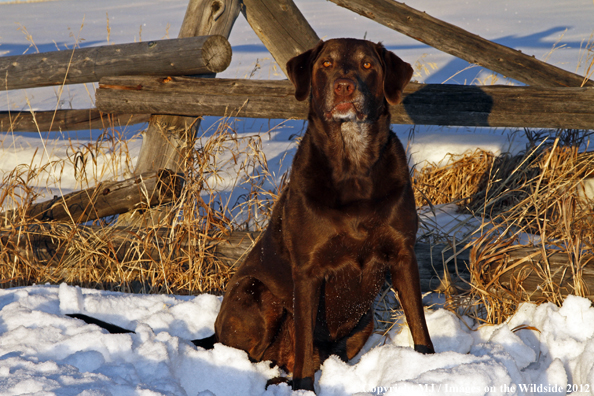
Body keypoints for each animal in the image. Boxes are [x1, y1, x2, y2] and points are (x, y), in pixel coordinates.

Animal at [210, 38, 432, 392]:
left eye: (367, 64)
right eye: (326, 64)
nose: (344, 86)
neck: (353, 164)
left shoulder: (402, 254)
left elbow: (419, 324)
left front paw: (430, 365)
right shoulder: (307, 270)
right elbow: (304, 340)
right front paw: (303, 388)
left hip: (364, 321)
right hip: (256, 292)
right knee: (259, 355)